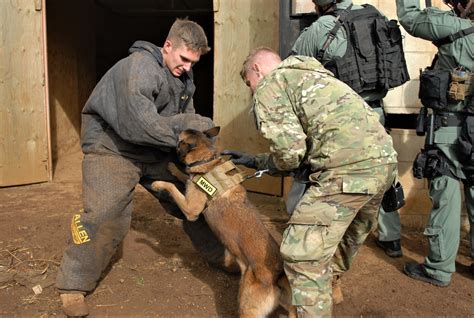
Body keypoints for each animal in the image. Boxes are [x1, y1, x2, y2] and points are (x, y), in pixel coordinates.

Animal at [152, 126, 294, 318]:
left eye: (180, 135)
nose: (174, 128)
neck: (206, 160)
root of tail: (278, 275)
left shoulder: (191, 210)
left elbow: (173, 187)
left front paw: (159, 183)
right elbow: (184, 177)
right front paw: (174, 168)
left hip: (247, 307)